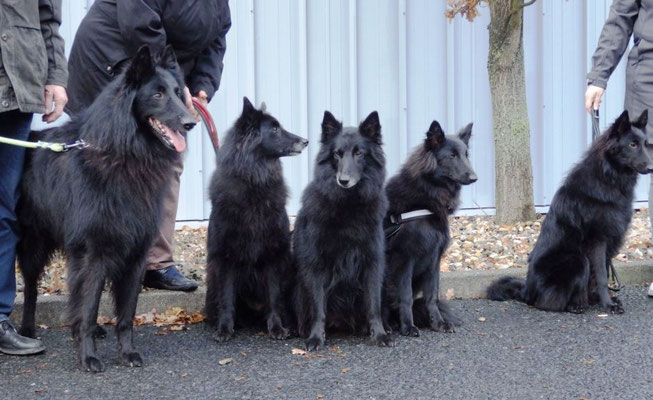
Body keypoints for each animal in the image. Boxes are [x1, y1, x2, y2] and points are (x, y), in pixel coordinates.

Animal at [15, 44, 194, 372]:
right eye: (158, 94)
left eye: (178, 92)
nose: (191, 122)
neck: (126, 154)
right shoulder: (93, 252)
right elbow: (87, 307)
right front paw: (88, 356)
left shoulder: (136, 253)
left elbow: (125, 315)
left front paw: (127, 353)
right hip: (34, 244)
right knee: (32, 287)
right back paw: (27, 331)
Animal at [206, 98, 308, 342]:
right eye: (274, 129)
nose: (306, 141)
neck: (254, 180)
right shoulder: (225, 257)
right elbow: (227, 298)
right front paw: (225, 328)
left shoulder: (273, 255)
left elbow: (274, 296)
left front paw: (277, 327)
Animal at [290, 109, 392, 350]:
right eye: (337, 154)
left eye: (359, 154)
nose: (343, 180)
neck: (348, 206)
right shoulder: (316, 264)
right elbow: (318, 307)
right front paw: (316, 337)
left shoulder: (373, 262)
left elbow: (374, 304)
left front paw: (379, 333)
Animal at [382, 120, 474, 336]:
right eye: (452, 155)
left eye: (466, 154)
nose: (474, 177)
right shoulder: (404, 259)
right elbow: (406, 296)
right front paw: (408, 326)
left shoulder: (434, 259)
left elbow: (432, 296)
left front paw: (438, 323)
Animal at [486, 109, 648, 312]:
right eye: (632, 144)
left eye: (646, 144)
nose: (651, 166)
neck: (608, 177)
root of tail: (526, 292)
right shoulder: (598, 240)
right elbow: (602, 276)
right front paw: (608, 304)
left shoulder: (610, 242)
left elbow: (601, 273)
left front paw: (603, 300)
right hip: (577, 260)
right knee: (548, 303)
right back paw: (575, 306)